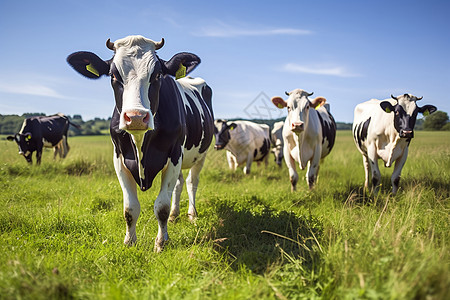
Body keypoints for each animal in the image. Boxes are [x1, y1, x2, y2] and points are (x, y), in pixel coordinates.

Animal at [67, 35, 214, 253]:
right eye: (113, 76)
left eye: (158, 75)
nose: (136, 117)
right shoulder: (119, 158)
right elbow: (130, 208)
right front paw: (130, 242)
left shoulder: (174, 154)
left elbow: (161, 206)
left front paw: (161, 243)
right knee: (179, 184)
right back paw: (175, 215)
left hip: (200, 155)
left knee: (191, 182)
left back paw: (192, 215)